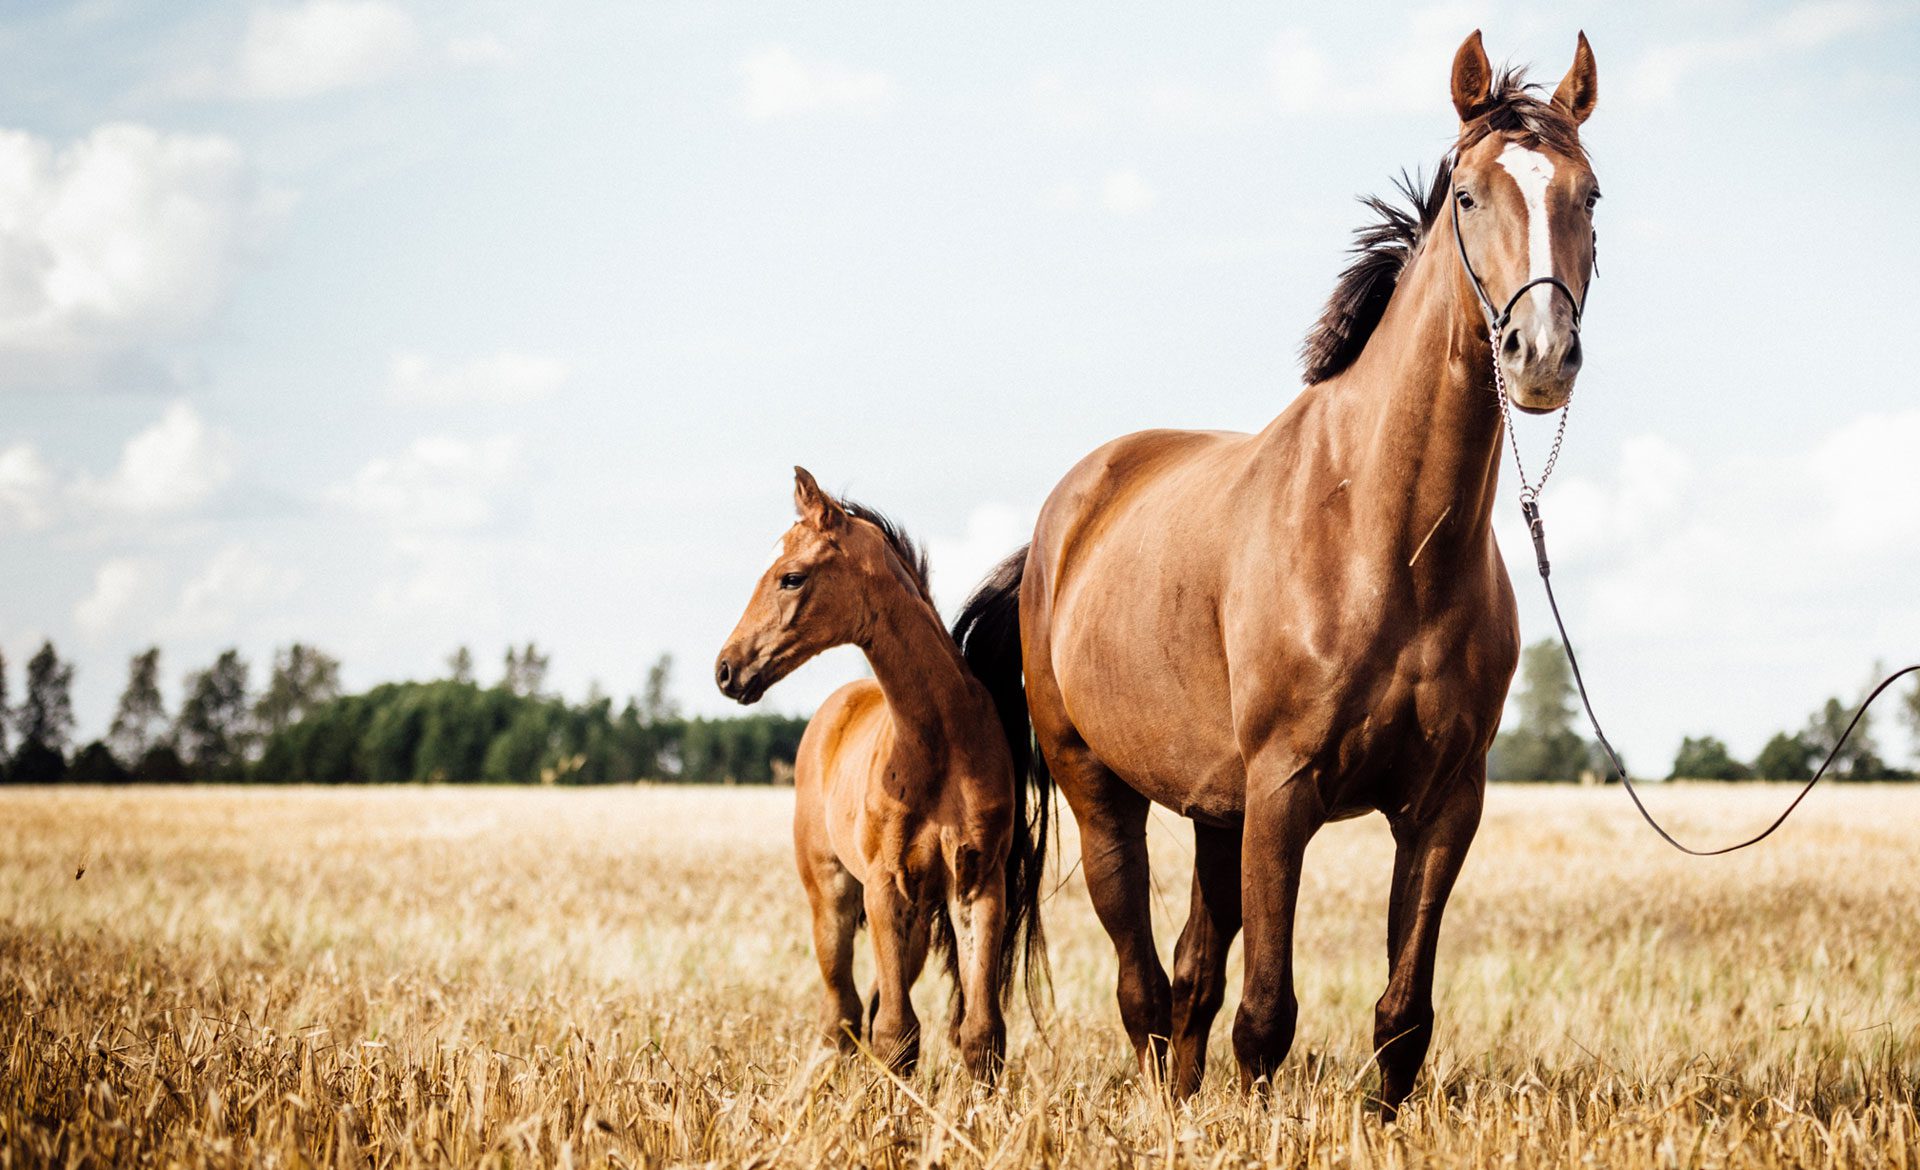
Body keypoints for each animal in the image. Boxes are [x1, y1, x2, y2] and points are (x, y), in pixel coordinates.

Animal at [714, 467, 1048, 1079]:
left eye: (791, 578)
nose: (726, 669)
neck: (936, 745)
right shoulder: (885, 887)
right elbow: (897, 1034)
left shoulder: (977, 885)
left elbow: (980, 1032)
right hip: (833, 897)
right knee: (842, 1013)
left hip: (914, 921)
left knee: (864, 1007)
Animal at [954, 31, 1600, 1114]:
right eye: (1470, 195)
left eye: (1589, 195)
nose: (1540, 354)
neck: (1384, 540)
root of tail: (1054, 531)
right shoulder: (1286, 790)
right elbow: (1266, 1015)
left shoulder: (1444, 806)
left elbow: (1401, 1017)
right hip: (1103, 791)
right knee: (1142, 981)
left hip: (1219, 811)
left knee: (1188, 975)